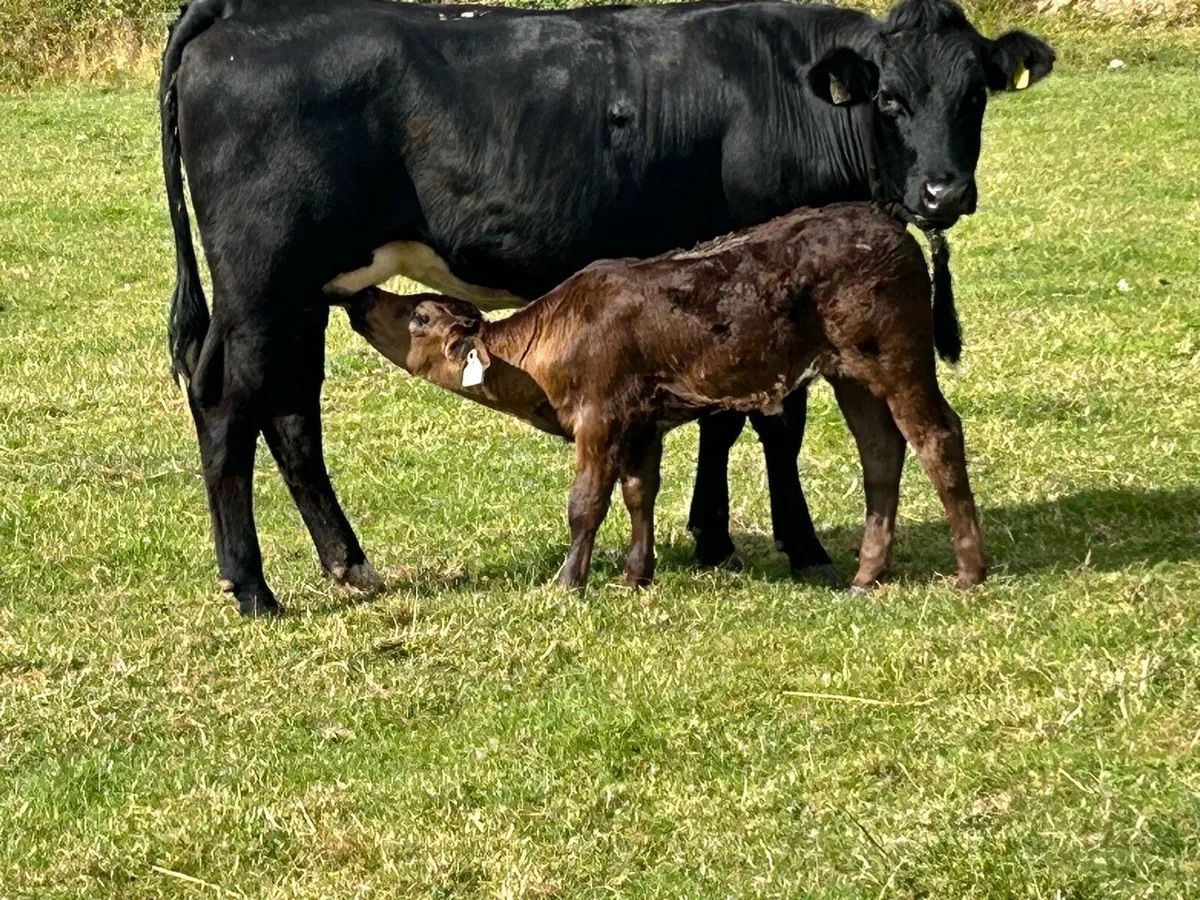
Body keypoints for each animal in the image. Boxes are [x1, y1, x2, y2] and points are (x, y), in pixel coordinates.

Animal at [338, 203, 987, 590]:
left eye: (418, 314)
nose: (362, 296)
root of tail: (889, 221)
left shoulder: (600, 414)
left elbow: (586, 502)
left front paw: (568, 582)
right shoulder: (641, 420)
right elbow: (638, 493)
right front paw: (635, 575)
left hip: (897, 352)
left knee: (936, 436)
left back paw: (969, 571)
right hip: (850, 371)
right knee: (881, 452)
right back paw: (866, 575)